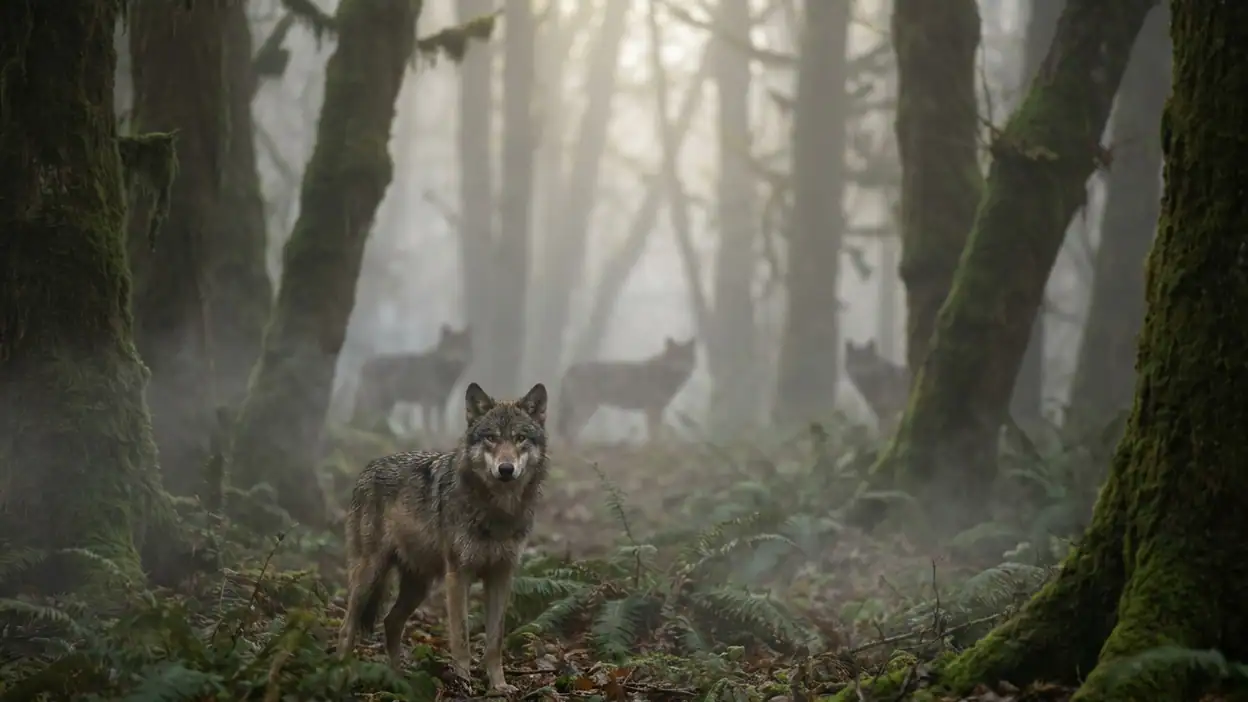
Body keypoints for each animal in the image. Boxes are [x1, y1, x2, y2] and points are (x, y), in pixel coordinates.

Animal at [337, 381, 548, 694]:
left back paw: (399, 679)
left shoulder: (501, 575)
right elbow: (461, 636)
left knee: (391, 622)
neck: (498, 510)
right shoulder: (458, 575)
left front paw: (499, 685)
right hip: (369, 575)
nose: (506, 469)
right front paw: (463, 683)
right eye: (491, 438)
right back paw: (340, 672)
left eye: (520, 438)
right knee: (347, 626)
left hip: (420, 584)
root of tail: (368, 467)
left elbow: (494, 641)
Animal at [556, 336, 697, 442]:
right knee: (570, 431)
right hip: (585, 409)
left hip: (589, 410)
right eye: (676, 357)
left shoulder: (659, 410)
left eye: (687, 357)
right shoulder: (652, 409)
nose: (684, 369)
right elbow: (654, 435)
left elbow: (657, 433)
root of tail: (571, 368)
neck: (665, 374)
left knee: (569, 433)